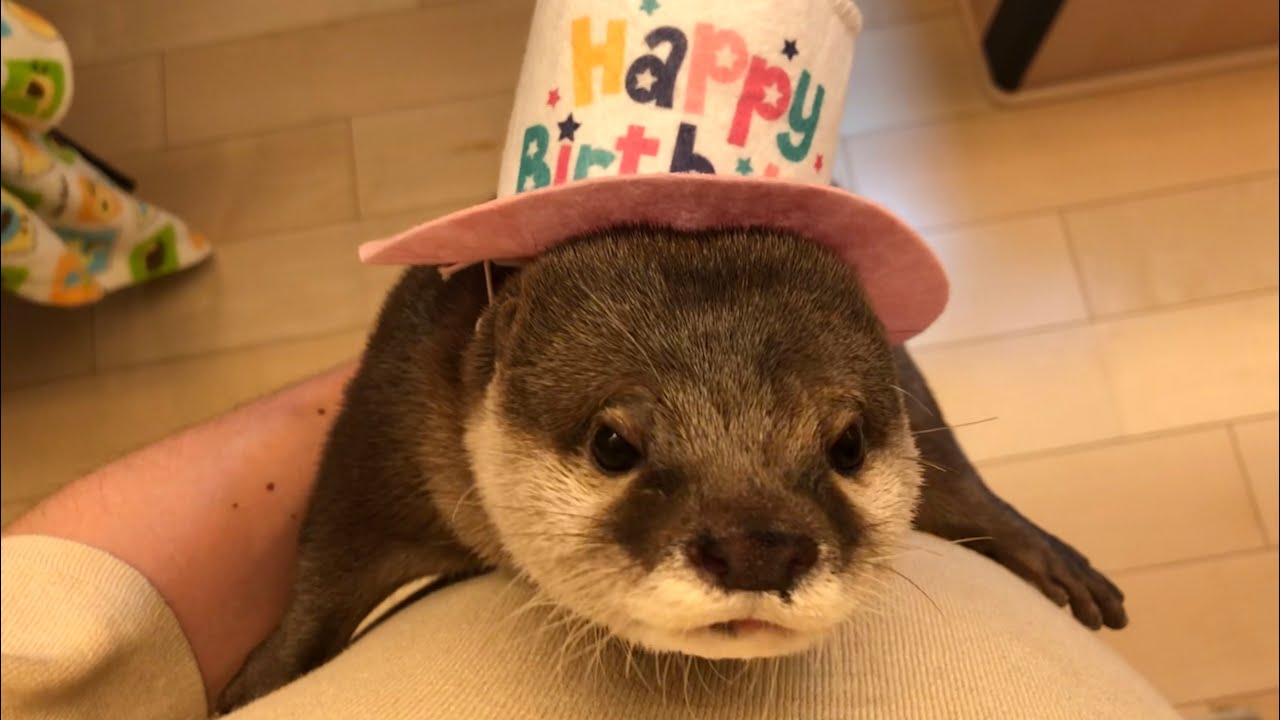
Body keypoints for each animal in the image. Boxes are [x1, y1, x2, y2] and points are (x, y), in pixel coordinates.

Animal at [217, 226, 1126, 712]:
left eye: (847, 444)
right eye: (614, 443)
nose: (759, 548)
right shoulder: (386, 415)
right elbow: (324, 566)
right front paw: (253, 687)